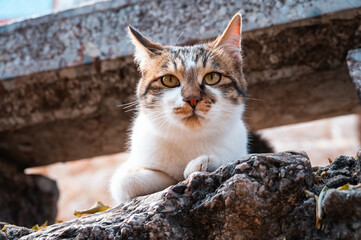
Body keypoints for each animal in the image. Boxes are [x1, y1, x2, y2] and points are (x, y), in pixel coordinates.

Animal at [109, 13, 250, 203]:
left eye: (212, 77)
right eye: (169, 80)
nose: (192, 98)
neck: (188, 137)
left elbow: (233, 158)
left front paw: (204, 163)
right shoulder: (127, 172)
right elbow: (125, 180)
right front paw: (171, 178)